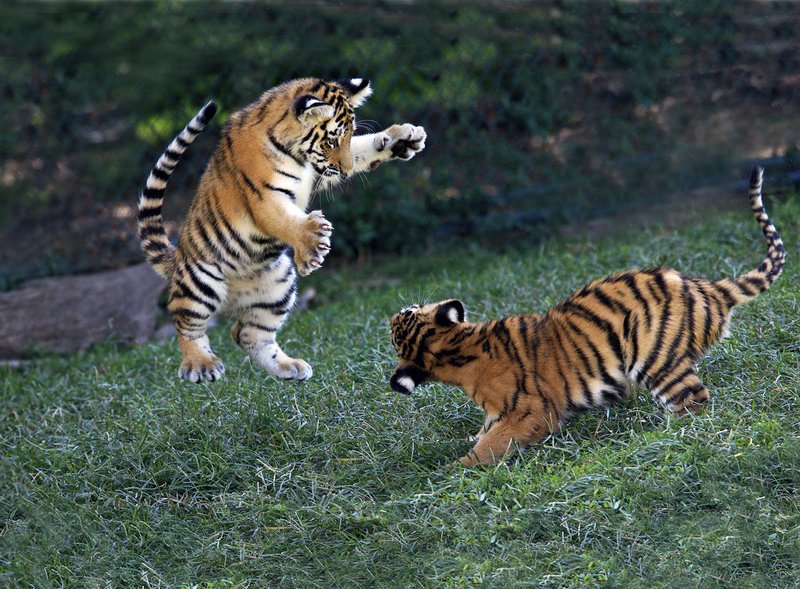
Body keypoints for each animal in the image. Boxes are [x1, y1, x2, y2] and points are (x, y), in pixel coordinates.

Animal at [138, 77, 426, 383]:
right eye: (331, 140)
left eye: (348, 137)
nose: (346, 171)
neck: (297, 154)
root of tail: (177, 257)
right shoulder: (265, 198)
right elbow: (285, 221)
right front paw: (313, 241)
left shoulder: (317, 174)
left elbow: (361, 150)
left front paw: (403, 137)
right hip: (201, 281)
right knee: (185, 323)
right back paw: (201, 365)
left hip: (279, 284)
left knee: (246, 333)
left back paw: (290, 368)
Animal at [389, 168, 785, 467]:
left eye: (404, 316)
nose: (394, 313)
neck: (456, 344)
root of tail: (706, 287)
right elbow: (485, 432)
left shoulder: (529, 412)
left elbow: (491, 445)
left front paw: (454, 471)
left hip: (656, 360)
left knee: (695, 403)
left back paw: (662, 436)